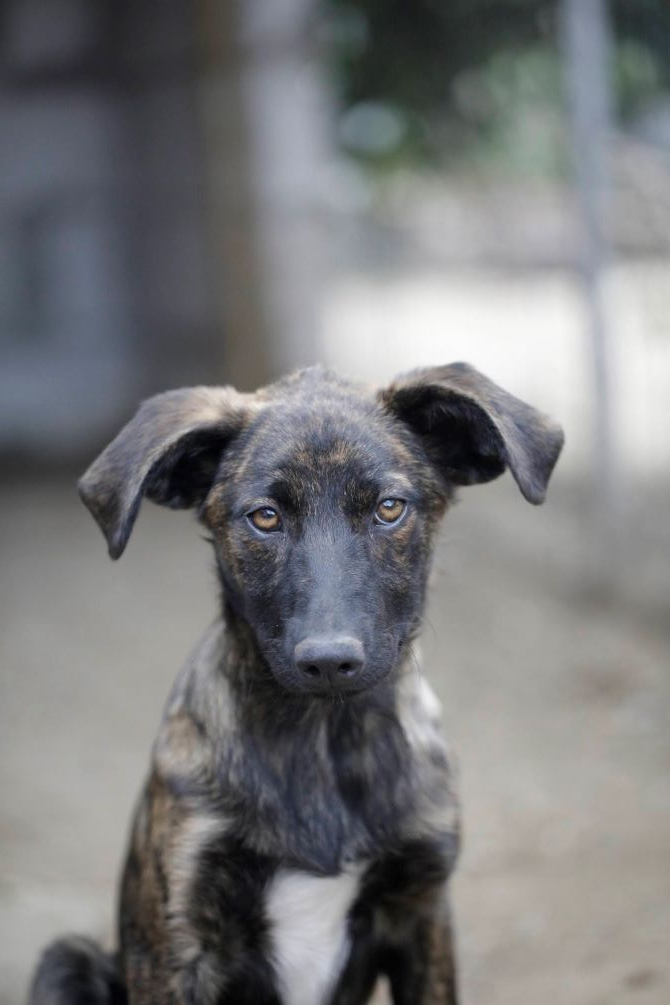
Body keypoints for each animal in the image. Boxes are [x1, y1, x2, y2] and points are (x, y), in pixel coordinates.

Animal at [32, 363, 566, 1005]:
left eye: (390, 508)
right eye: (264, 516)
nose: (329, 660)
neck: (323, 738)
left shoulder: (422, 912)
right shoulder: (178, 947)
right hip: (66, 959)